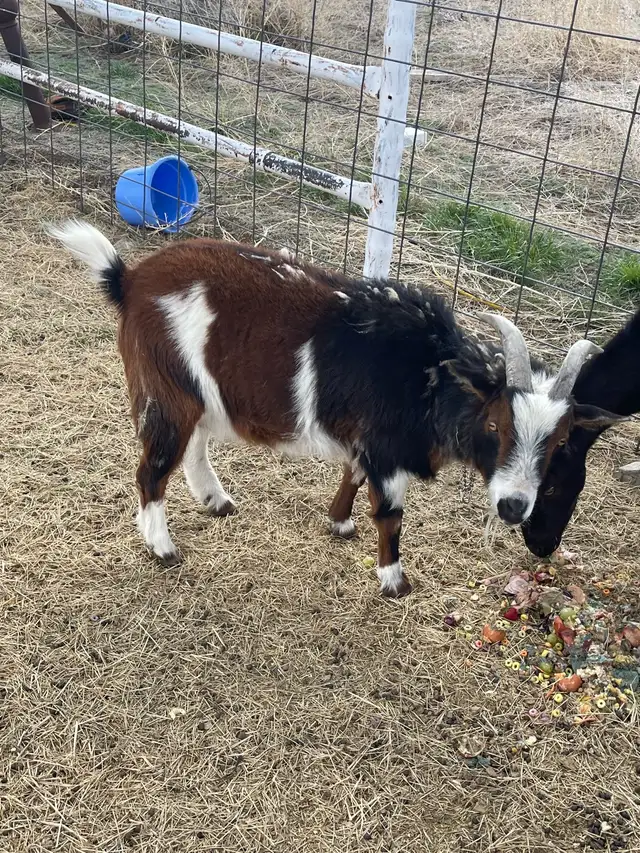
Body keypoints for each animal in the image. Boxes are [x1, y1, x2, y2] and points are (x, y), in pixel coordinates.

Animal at [47, 220, 622, 597]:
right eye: (496, 424)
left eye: (561, 442)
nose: (513, 507)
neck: (427, 374)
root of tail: (128, 279)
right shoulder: (386, 447)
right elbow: (390, 514)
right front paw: (393, 580)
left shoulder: (368, 439)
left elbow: (353, 472)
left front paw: (339, 523)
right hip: (165, 389)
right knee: (151, 469)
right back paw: (162, 548)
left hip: (200, 392)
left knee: (195, 445)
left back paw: (215, 499)